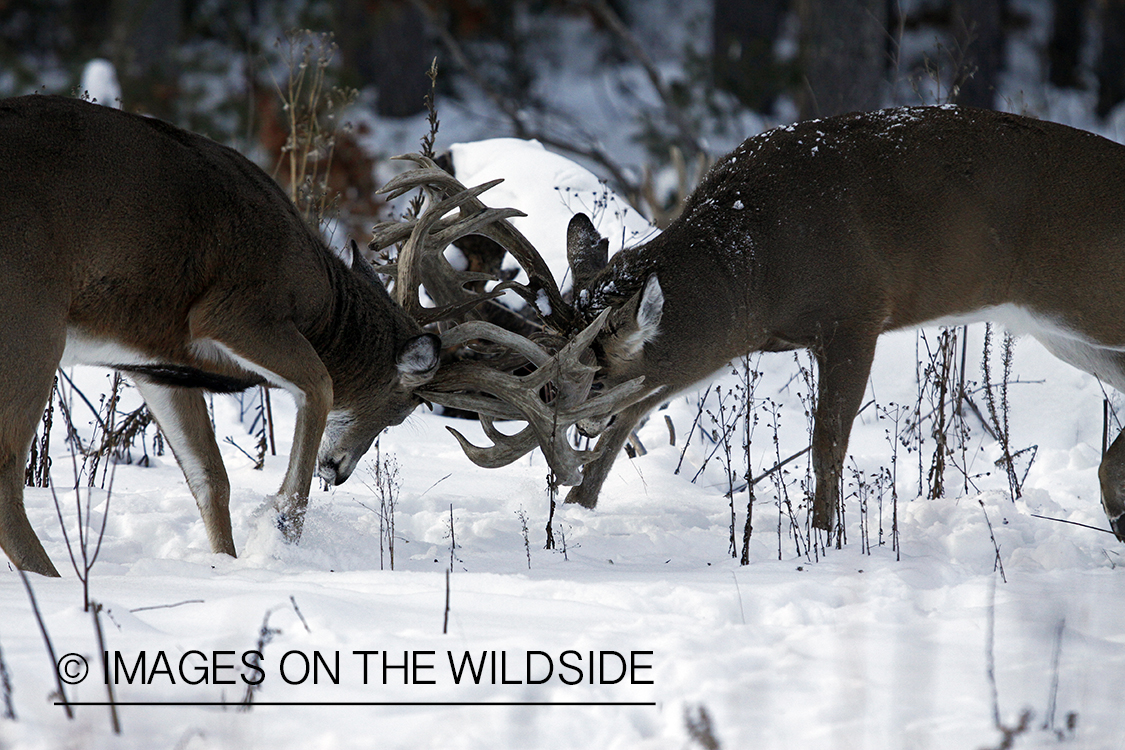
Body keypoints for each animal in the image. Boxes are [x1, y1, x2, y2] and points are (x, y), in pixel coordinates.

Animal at [0, 96, 438, 580]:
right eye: (400, 412)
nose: (337, 472)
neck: (319, 306)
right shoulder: (234, 311)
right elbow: (321, 383)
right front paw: (280, 525)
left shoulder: (157, 365)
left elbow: (211, 476)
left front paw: (225, 564)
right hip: (30, 318)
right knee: (6, 473)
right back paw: (51, 580)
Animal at [562, 104, 1125, 539]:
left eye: (598, 379)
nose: (573, 424)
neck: (755, 265)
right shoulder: (742, 339)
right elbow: (630, 418)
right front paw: (575, 508)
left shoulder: (857, 312)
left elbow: (827, 445)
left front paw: (824, 537)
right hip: (1068, 334)